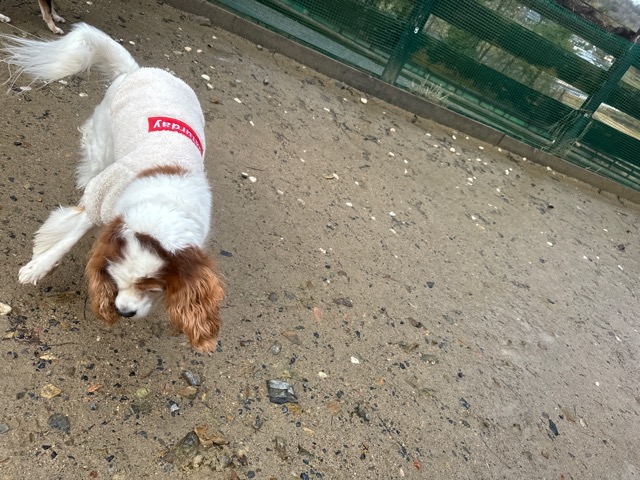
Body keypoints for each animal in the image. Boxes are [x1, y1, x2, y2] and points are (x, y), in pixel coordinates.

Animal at [2, 23, 224, 351]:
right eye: (115, 280)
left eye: (154, 288)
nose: (123, 311)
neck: (161, 210)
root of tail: (139, 69)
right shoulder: (100, 202)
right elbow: (68, 236)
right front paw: (38, 267)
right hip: (104, 141)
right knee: (93, 163)